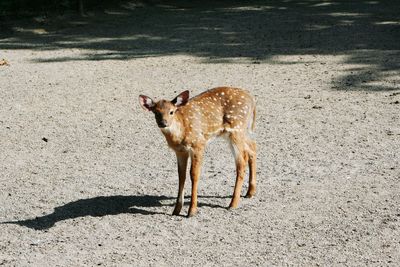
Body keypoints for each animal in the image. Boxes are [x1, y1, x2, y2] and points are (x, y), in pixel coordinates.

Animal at [139, 88, 258, 218]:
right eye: (156, 112)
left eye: (171, 112)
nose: (163, 123)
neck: (180, 133)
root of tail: (252, 99)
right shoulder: (180, 151)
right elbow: (181, 175)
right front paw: (176, 210)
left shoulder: (198, 144)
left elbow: (194, 174)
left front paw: (192, 211)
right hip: (236, 132)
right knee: (252, 147)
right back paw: (250, 192)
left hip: (236, 129)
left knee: (241, 162)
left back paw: (233, 203)